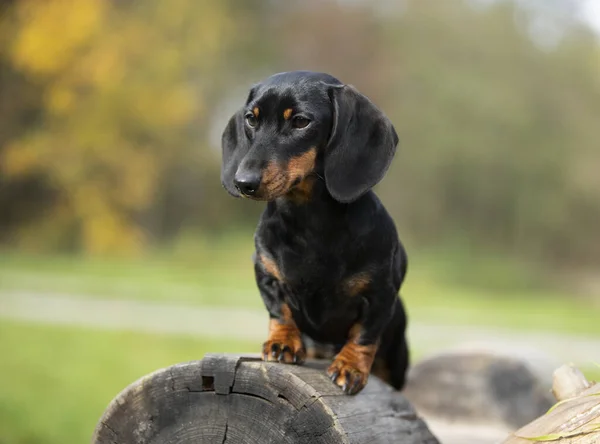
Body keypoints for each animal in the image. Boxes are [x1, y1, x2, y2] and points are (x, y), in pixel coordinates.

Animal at [220, 70, 408, 396]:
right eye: (251, 119)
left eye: (300, 121)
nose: (244, 182)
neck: (308, 221)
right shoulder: (266, 273)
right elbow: (279, 310)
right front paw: (282, 343)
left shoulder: (380, 294)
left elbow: (364, 334)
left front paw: (350, 366)